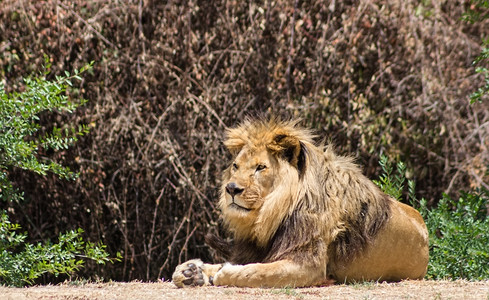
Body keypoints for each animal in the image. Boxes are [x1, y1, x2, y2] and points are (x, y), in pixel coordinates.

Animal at [171, 118, 428, 288]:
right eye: (235, 166)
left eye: (260, 167)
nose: (231, 188)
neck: (270, 215)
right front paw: (191, 272)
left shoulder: (308, 265)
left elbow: (255, 272)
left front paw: (221, 274)